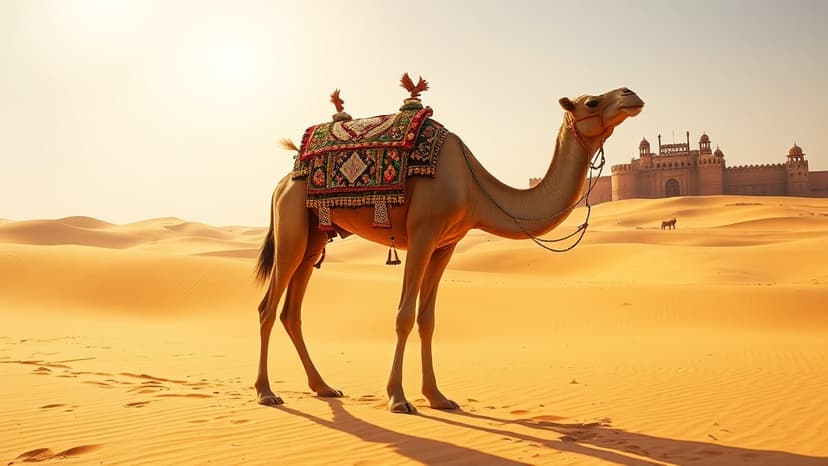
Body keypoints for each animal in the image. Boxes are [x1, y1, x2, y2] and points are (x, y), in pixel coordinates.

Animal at [254, 85, 644, 413]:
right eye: (592, 102)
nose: (631, 94)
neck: (472, 186)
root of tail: (283, 180)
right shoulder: (423, 233)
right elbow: (404, 315)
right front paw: (398, 398)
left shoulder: (447, 244)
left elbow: (428, 320)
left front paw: (437, 397)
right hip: (291, 225)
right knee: (267, 306)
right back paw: (266, 392)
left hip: (315, 237)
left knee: (292, 311)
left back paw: (324, 387)